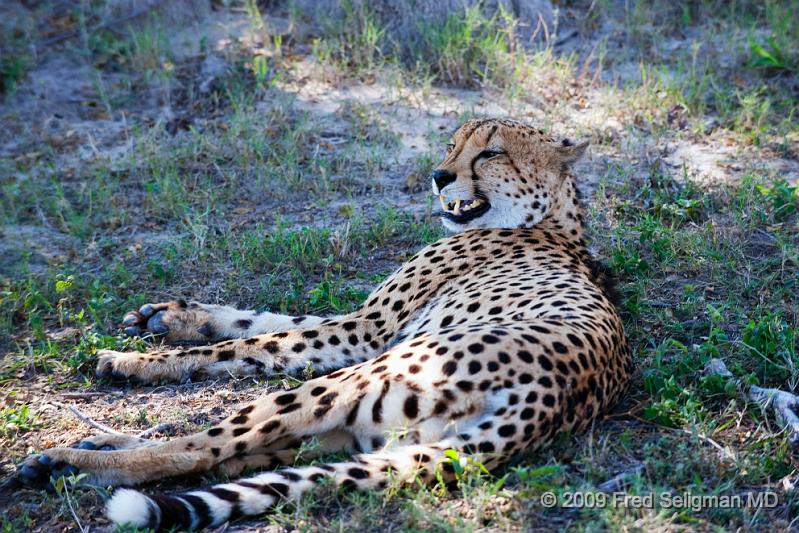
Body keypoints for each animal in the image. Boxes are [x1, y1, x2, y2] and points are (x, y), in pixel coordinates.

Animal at [13, 118, 632, 531]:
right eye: (453, 145)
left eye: (491, 153)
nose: (438, 176)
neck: (549, 222)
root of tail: (551, 398)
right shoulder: (362, 327)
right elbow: (260, 324)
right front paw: (171, 316)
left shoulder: (368, 331)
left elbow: (256, 340)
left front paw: (136, 359)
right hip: (364, 431)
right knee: (254, 453)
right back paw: (96, 441)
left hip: (355, 380)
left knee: (203, 448)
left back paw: (74, 461)